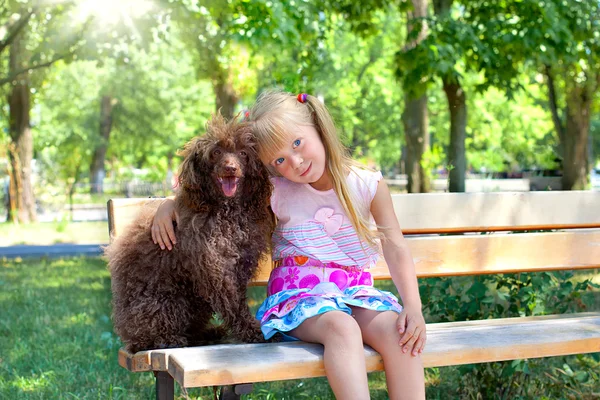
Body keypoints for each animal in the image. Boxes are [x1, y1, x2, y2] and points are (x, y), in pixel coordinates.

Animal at [106, 114, 274, 352]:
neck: (226, 212)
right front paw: (254, 331)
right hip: (167, 303)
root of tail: (127, 335)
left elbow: (238, 300)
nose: (230, 168)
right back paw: (170, 340)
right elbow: (234, 305)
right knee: (156, 334)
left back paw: (208, 334)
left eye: (243, 153)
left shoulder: (239, 265)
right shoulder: (215, 269)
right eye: (216, 152)